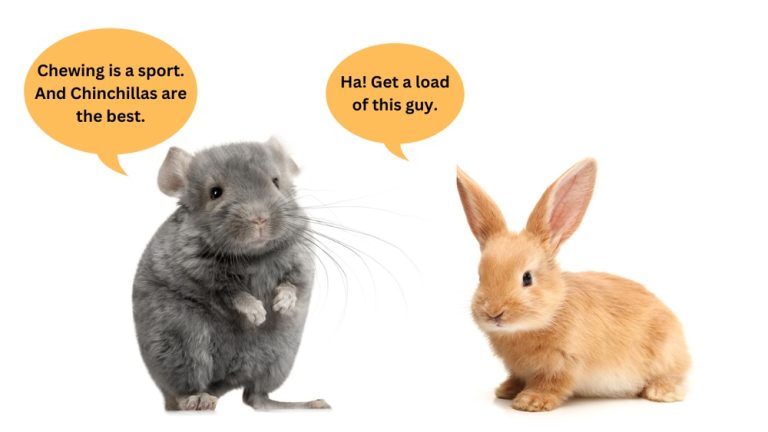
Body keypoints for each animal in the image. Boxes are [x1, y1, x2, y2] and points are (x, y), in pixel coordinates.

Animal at [132, 137, 329, 411]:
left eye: (276, 182)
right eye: (215, 192)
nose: (259, 219)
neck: (254, 255)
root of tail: (224, 384)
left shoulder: (301, 259)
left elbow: (293, 283)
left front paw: (283, 304)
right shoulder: (199, 269)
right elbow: (232, 293)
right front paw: (257, 314)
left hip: (279, 356)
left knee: (256, 398)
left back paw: (311, 404)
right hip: (181, 346)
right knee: (183, 393)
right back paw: (199, 400)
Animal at [456, 159, 690, 412]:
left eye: (527, 278)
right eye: (480, 277)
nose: (493, 313)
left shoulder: (564, 362)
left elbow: (552, 383)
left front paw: (530, 401)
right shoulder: (519, 368)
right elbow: (517, 377)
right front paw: (506, 391)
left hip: (665, 355)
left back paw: (661, 392)